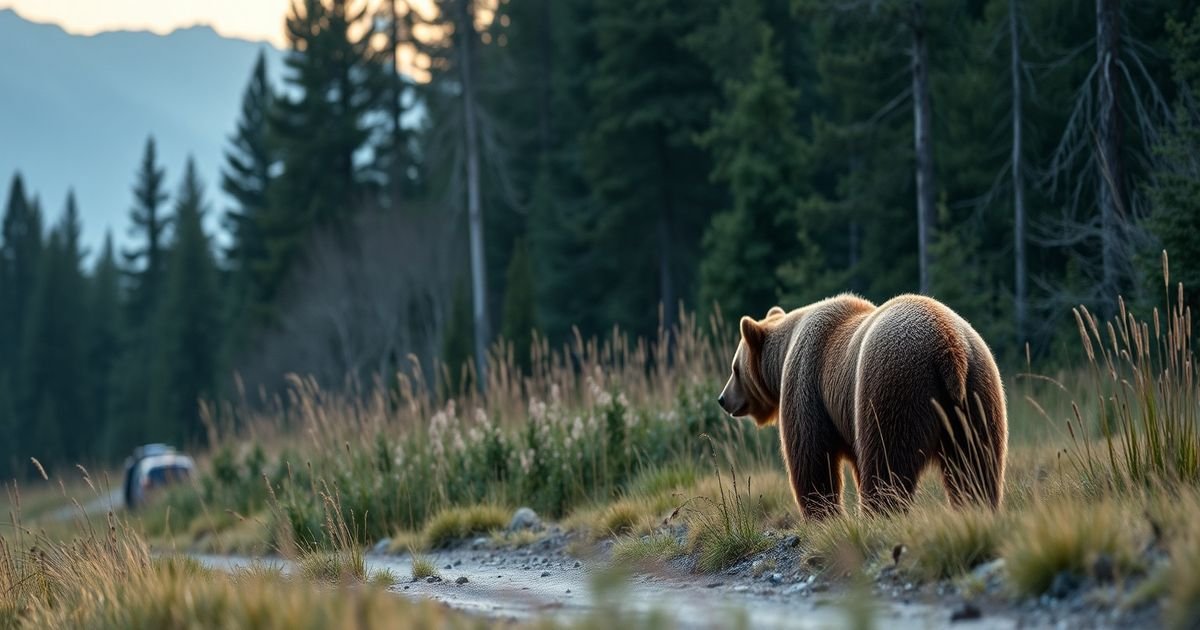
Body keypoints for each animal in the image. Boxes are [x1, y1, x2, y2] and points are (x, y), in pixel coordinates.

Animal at [717, 294, 1007, 519]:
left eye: (734, 368)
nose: (722, 398)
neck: (783, 356)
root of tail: (948, 347)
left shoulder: (806, 383)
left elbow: (811, 458)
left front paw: (823, 515)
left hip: (895, 385)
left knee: (888, 460)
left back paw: (878, 514)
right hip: (978, 394)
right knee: (975, 462)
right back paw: (976, 508)